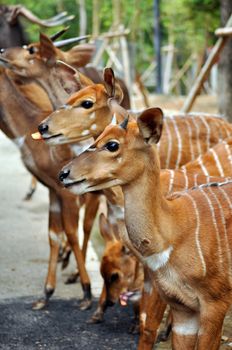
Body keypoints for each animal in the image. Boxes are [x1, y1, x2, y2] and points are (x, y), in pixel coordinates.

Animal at [0, 34, 103, 308]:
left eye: (31, 49)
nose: (3, 51)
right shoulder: (52, 189)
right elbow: (53, 234)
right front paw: (45, 294)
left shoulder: (67, 190)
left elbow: (72, 232)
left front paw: (86, 292)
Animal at [59, 107, 232, 350]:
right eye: (98, 136)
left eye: (112, 145)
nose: (64, 173)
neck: (174, 228)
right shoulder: (182, 309)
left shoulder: (215, 303)